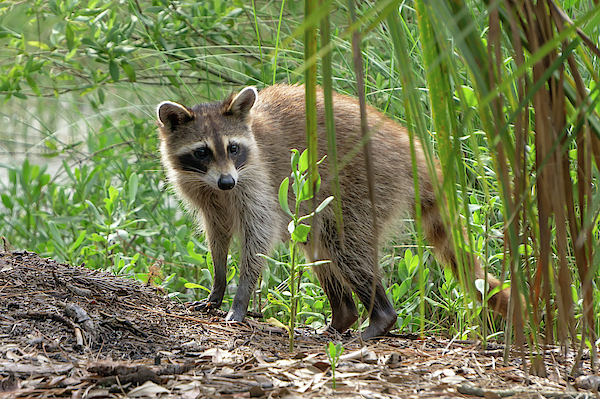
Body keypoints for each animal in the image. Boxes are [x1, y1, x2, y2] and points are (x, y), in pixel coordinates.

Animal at [156, 85, 510, 340]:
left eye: (232, 148)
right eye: (202, 152)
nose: (227, 182)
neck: (215, 184)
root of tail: (413, 149)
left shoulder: (256, 179)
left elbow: (258, 237)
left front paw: (241, 296)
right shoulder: (205, 193)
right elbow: (217, 235)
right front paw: (217, 284)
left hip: (365, 184)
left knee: (346, 248)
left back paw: (379, 317)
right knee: (319, 248)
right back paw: (343, 316)